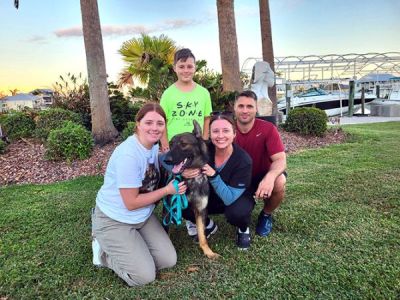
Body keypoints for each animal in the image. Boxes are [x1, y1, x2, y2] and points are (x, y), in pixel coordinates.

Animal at [162, 120, 219, 258]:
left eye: (183, 144)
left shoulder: (200, 210)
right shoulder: (167, 209)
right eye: (171, 144)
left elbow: (202, 235)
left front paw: (208, 251)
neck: (190, 180)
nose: (167, 160)